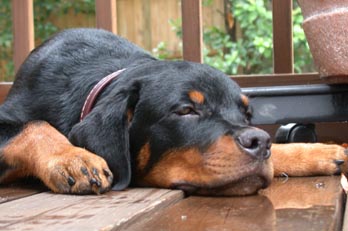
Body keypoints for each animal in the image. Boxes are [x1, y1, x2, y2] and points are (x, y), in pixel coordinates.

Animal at [0, 28, 348, 196]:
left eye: (248, 116)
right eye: (186, 110)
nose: (258, 142)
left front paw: (321, 151)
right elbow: (34, 125)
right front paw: (74, 158)